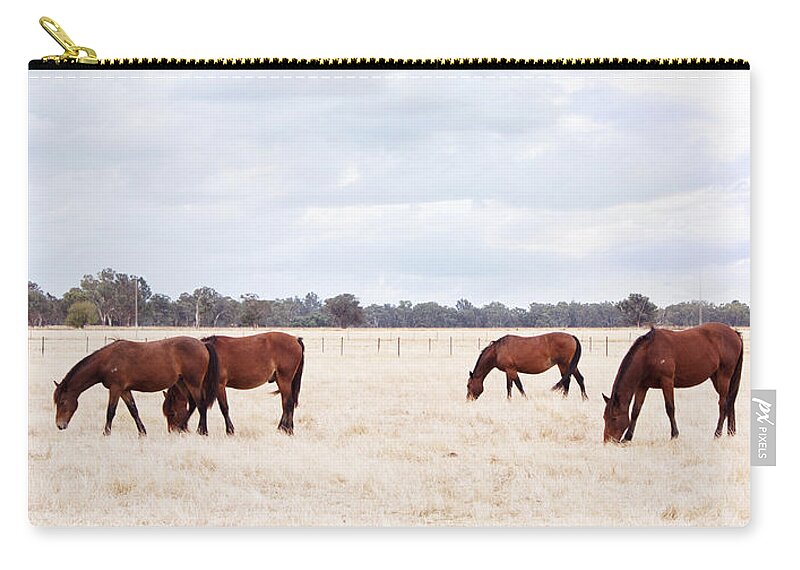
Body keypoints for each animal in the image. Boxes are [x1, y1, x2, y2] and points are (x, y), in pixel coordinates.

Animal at [53, 338, 219, 434]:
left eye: (62, 402)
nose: (60, 425)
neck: (107, 361)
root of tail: (203, 344)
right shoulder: (125, 390)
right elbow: (133, 410)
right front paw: (142, 432)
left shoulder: (115, 388)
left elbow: (110, 411)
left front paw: (106, 433)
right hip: (182, 382)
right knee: (193, 404)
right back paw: (182, 428)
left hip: (193, 383)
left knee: (201, 405)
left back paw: (202, 431)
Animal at [162, 330, 304, 432]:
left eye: (172, 413)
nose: (172, 430)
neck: (206, 355)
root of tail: (295, 339)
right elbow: (198, 406)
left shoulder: (219, 386)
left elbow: (223, 408)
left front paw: (229, 430)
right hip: (282, 381)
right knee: (287, 403)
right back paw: (284, 427)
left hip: (284, 380)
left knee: (288, 403)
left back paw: (287, 429)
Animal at [604, 322, 748, 442]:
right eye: (604, 417)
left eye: (614, 418)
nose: (608, 441)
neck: (649, 353)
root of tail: (734, 333)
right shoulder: (643, 386)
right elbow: (635, 411)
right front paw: (628, 438)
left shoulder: (667, 381)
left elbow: (670, 408)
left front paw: (674, 435)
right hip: (716, 377)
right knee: (730, 401)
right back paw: (731, 432)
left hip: (724, 376)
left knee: (723, 404)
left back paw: (717, 434)